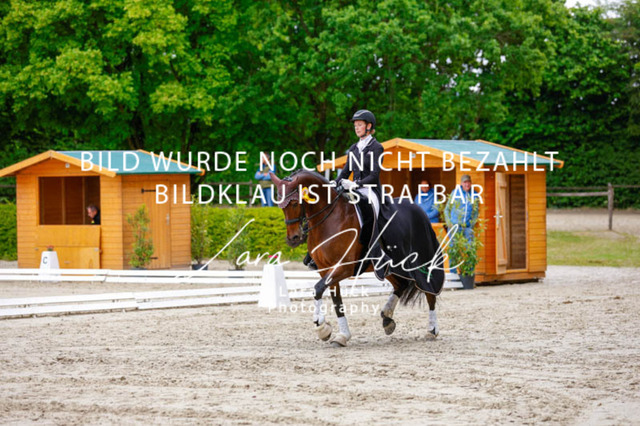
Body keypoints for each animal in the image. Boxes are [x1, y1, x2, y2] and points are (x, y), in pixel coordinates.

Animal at [270, 169, 442, 347]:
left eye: (294, 203)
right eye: (280, 205)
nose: (293, 239)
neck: (330, 218)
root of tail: (419, 210)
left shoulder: (344, 267)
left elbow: (317, 289)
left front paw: (321, 326)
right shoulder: (326, 269)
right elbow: (336, 301)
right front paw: (341, 335)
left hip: (421, 264)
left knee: (430, 292)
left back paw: (432, 330)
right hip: (388, 268)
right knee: (401, 285)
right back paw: (387, 319)